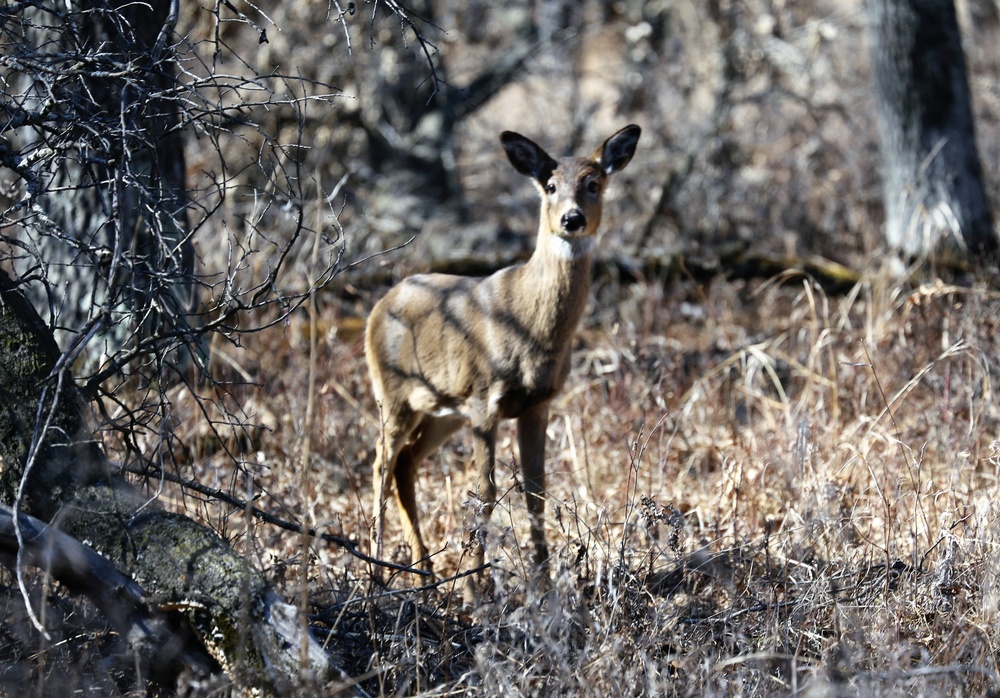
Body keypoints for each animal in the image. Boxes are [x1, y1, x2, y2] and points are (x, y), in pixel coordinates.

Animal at [366, 125, 640, 592]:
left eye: (593, 183)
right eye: (550, 185)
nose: (572, 219)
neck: (530, 324)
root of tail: (380, 304)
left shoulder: (538, 404)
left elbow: (536, 493)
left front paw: (544, 583)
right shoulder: (483, 400)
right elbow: (485, 493)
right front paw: (477, 586)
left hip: (441, 411)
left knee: (405, 463)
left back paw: (423, 571)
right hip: (394, 393)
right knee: (380, 464)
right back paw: (378, 571)